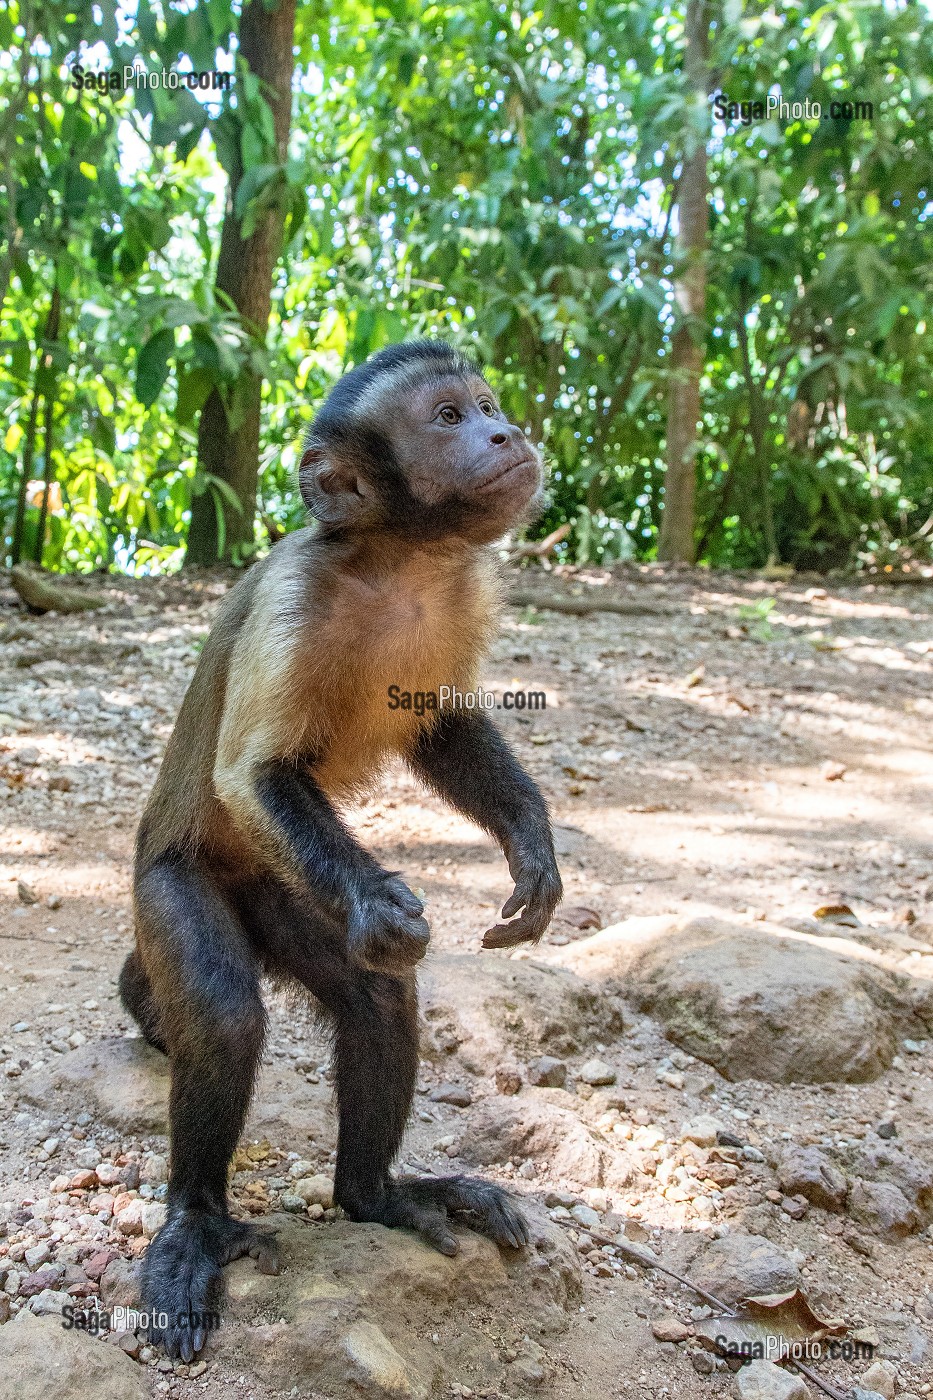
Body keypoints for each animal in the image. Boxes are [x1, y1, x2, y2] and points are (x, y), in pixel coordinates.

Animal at [119, 339, 563, 1362]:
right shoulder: (294, 599)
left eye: (486, 404)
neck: (398, 559)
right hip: (174, 882)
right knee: (222, 1011)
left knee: (375, 997)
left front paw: (533, 848)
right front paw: (383, 903)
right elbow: (252, 775)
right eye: (448, 418)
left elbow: (442, 730)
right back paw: (195, 1220)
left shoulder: (464, 590)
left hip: (286, 892)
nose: (506, 432)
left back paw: (377, 1195)